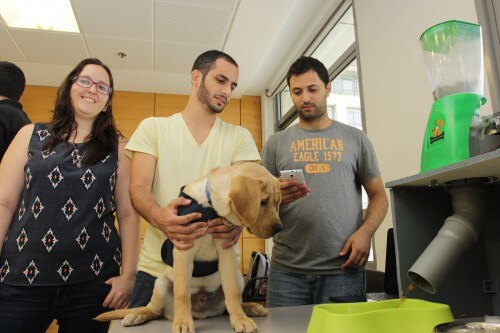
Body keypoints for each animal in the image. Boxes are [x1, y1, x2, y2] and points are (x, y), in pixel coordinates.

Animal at [94, 162, 282, 330]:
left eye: (277, 202)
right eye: (263, 201)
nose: (279, 228)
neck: (209, 206)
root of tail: (200, 310)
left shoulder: (226, 252)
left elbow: (233, 294)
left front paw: (239, 320)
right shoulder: (184, 250)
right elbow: (182, 294)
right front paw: (183, 323)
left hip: (237, 277)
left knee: (228, 304)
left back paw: (250, 307)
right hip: (161, 284)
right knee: (154, 310)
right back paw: (138, 314)